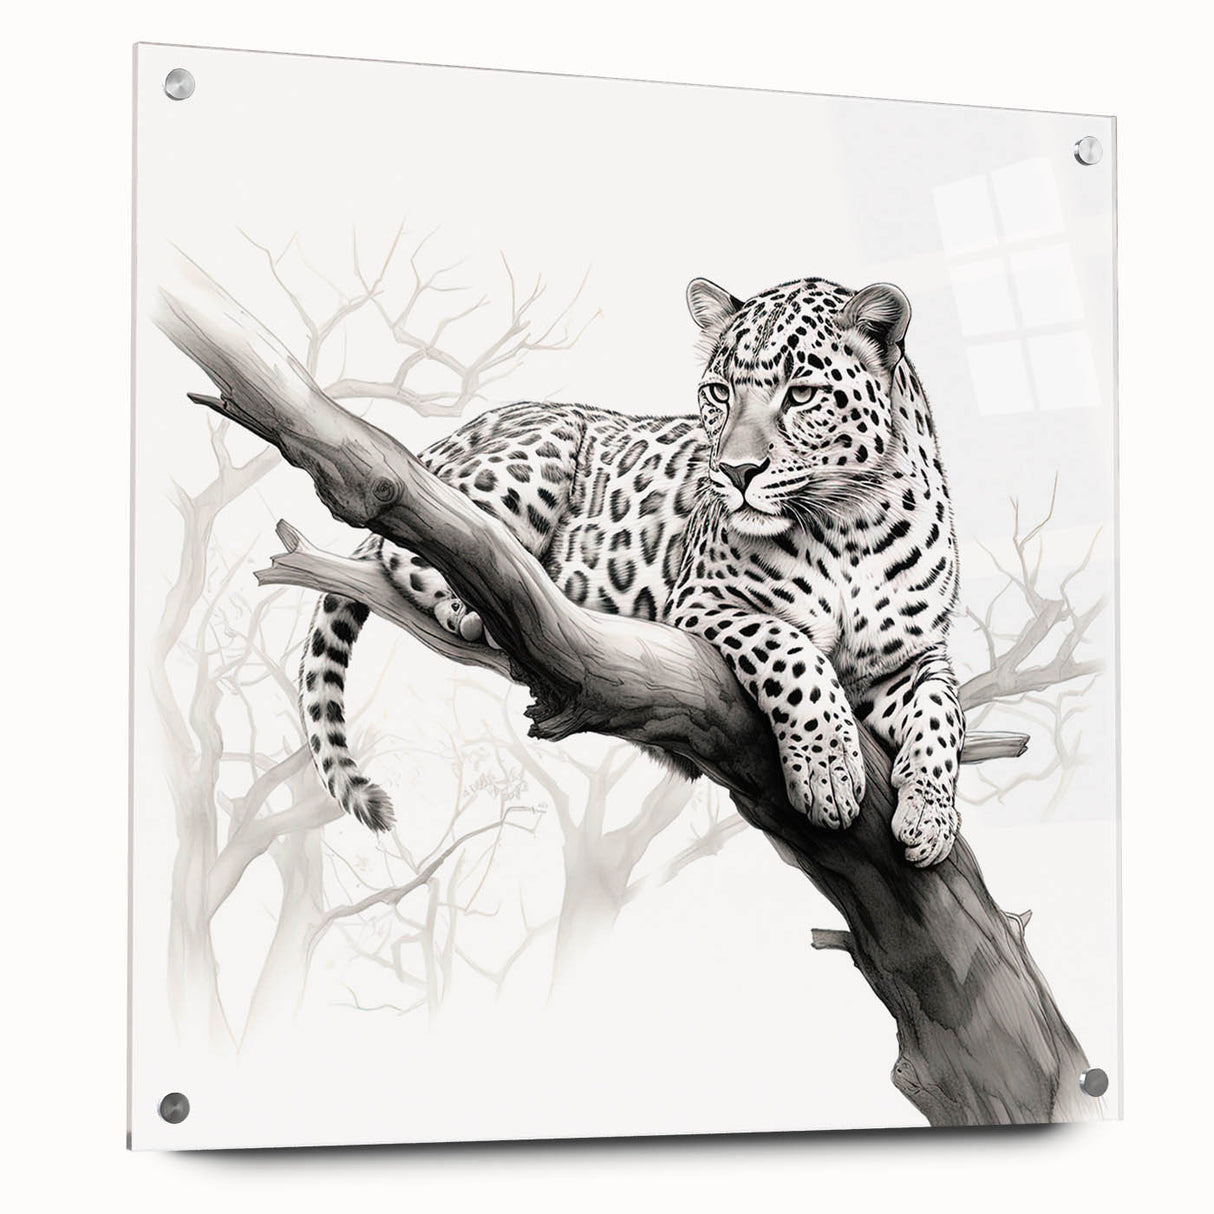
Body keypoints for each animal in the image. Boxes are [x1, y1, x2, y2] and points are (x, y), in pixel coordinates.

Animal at [299, 274, 965, 866]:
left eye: (800, 395)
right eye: (719, 393)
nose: (736, 472)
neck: (852, 527)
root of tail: (451, 435)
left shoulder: (913, 655)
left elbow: (943, 713)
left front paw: (931, 818)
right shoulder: (704, 600)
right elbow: (791, 653)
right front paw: (829, 771)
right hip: (530, 459)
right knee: (424, 535)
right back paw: (472, 605)